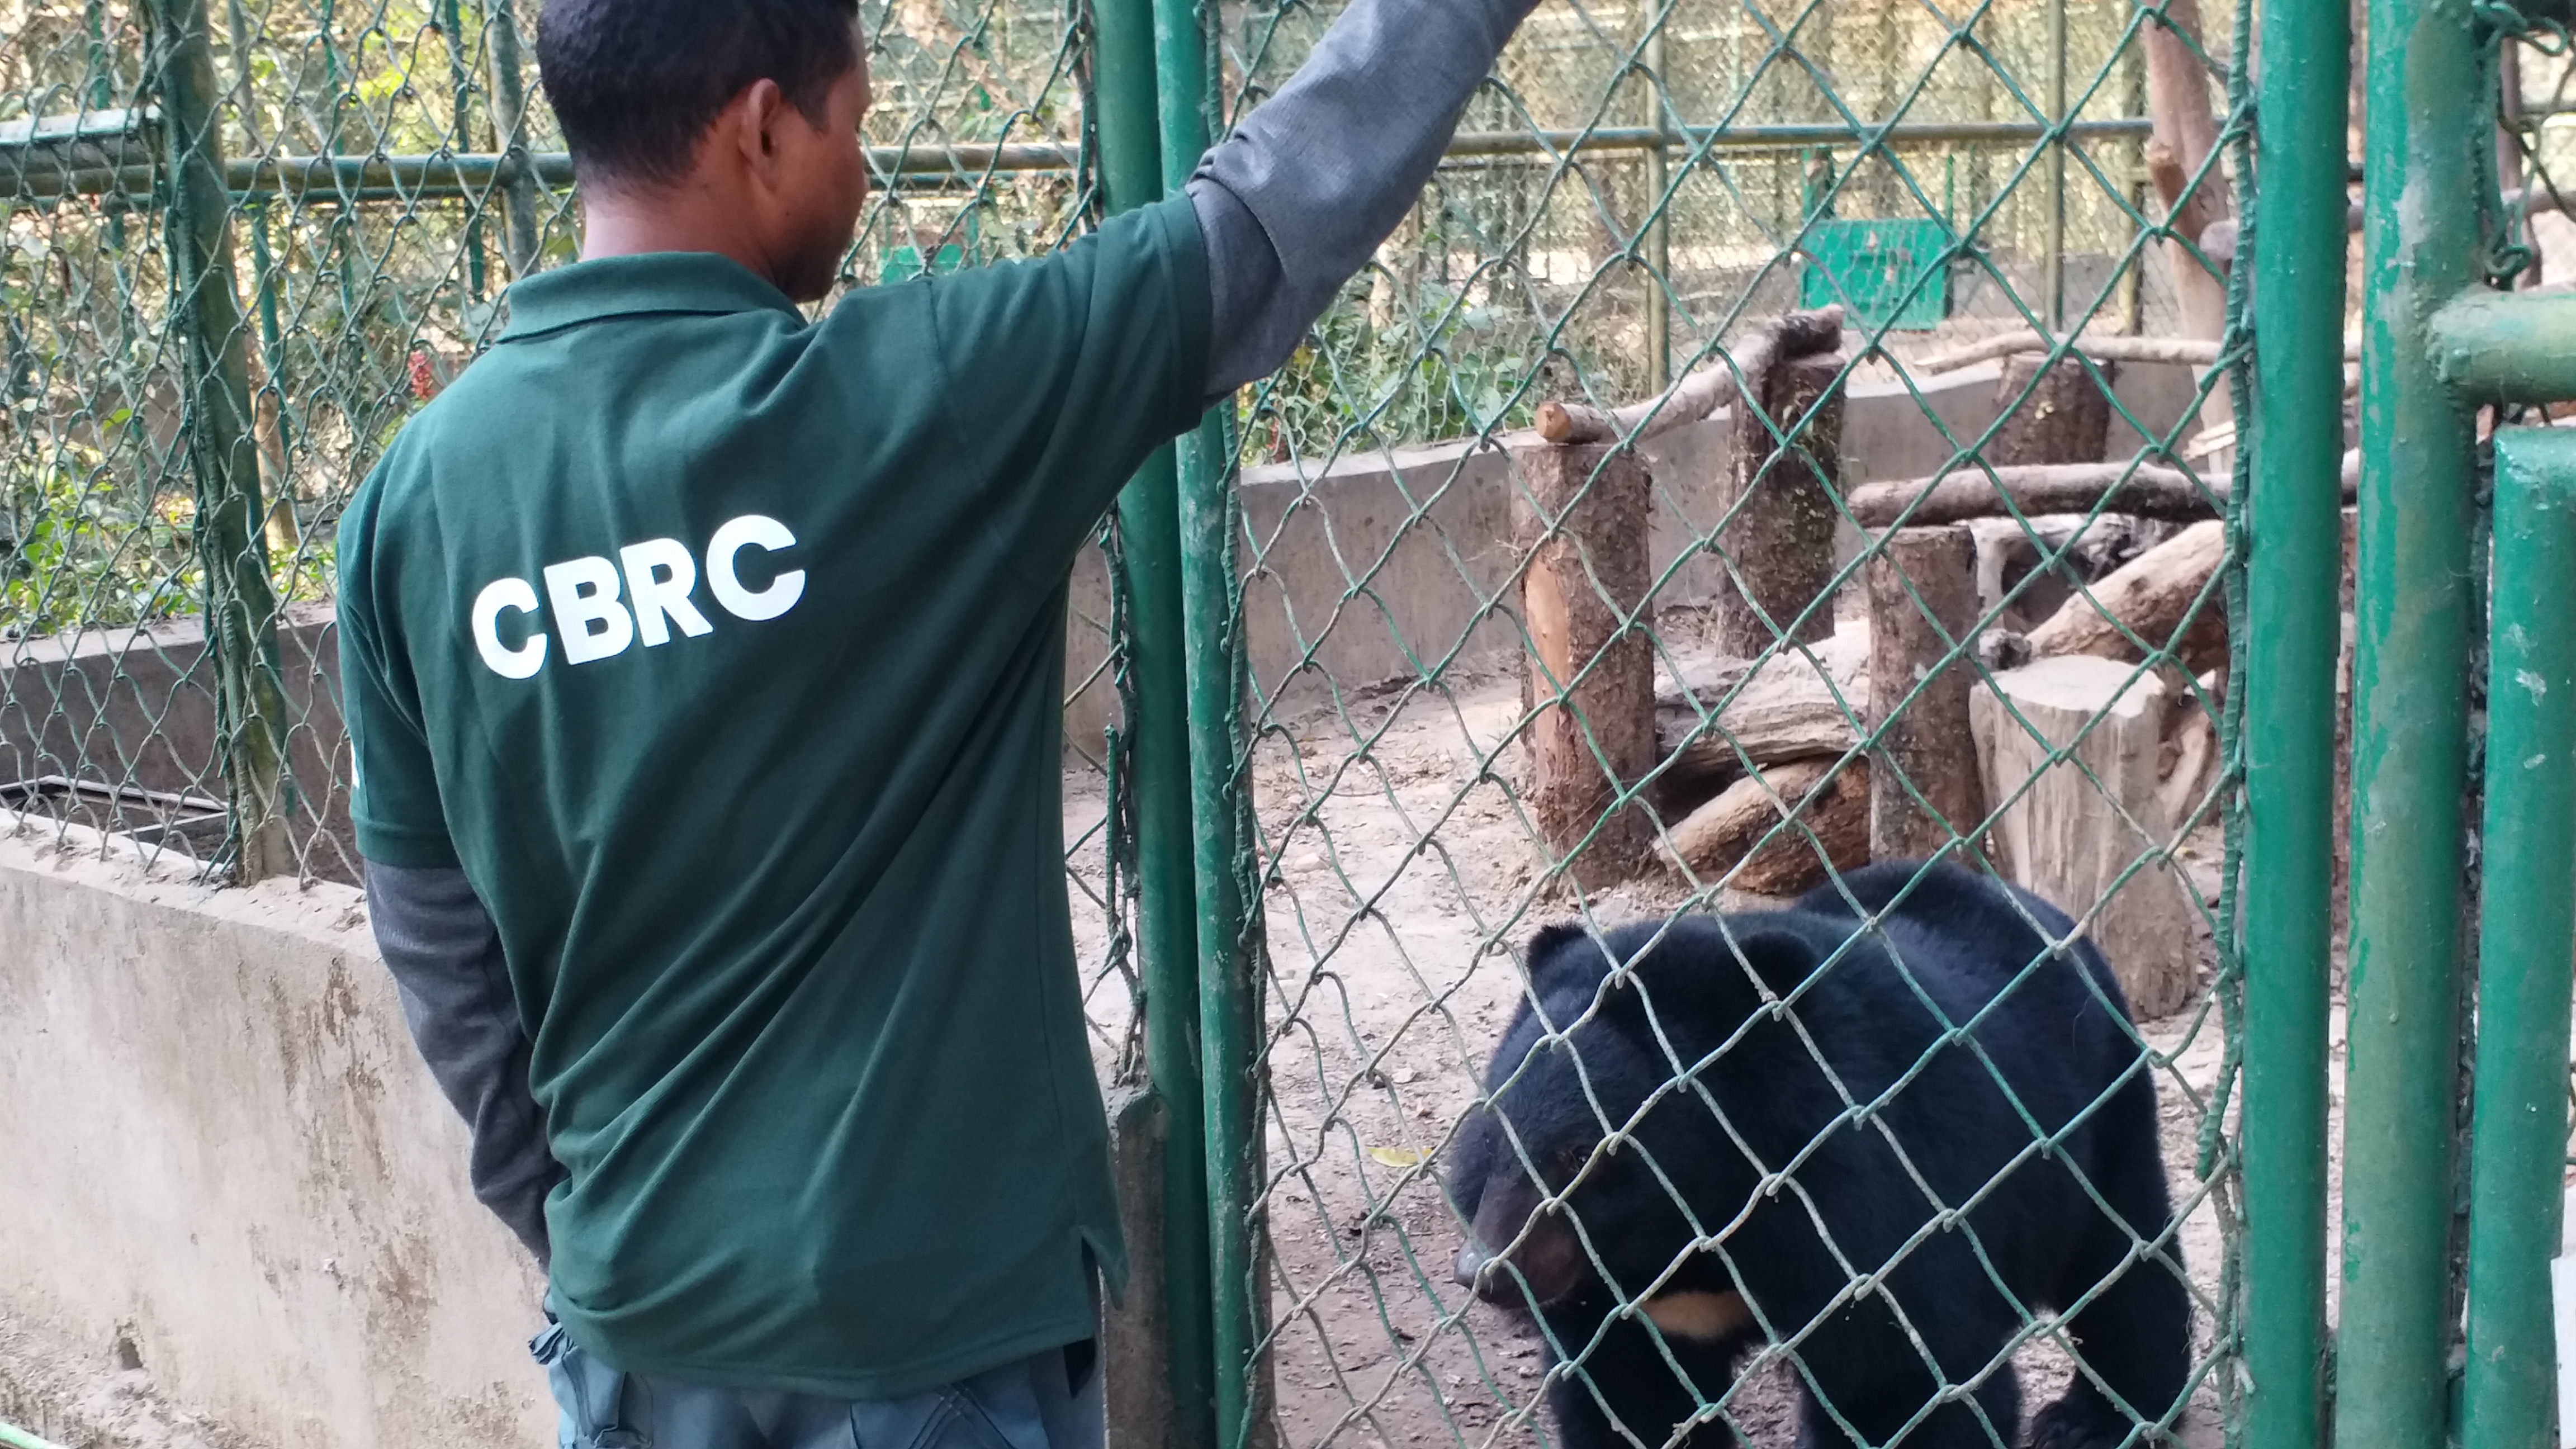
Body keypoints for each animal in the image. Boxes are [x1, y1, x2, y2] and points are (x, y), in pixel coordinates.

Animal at [1442, 856, 2184, 1443]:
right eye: (1493, 1134)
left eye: (1580, 1153)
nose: (1486, 1273)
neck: (1697, 1225)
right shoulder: (1637, 1308)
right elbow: (1631, 1395)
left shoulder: (1864, 1211)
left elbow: (1901, 1380)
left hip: (2098, 1104)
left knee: (2125, 1255)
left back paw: (2096, 1420)